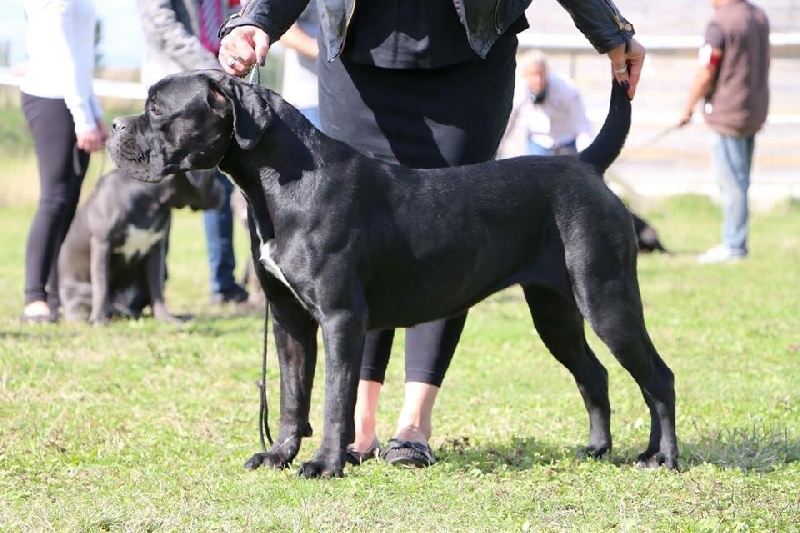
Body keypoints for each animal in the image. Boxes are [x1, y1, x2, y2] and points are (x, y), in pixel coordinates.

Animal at [58, 168, 223, 322]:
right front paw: (99, 319)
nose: (223, 190)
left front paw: (165, 318)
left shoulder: (156, 249)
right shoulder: (102, 245)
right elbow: (101, 285)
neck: (153, 202)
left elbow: (157, 289)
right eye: (213, 176)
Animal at [109, 69, 680, 474]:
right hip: (555, 310)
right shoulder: (290, 319)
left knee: (657, 376)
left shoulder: (341, 317)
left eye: (157, 109)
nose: (114, 125)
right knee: (596, 374)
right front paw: (279, 455)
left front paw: (324, 464)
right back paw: (597, 448)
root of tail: (584, 164)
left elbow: (336, 398)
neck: (279, 181)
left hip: (607, 298)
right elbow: (294, 395)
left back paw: (662, 458)